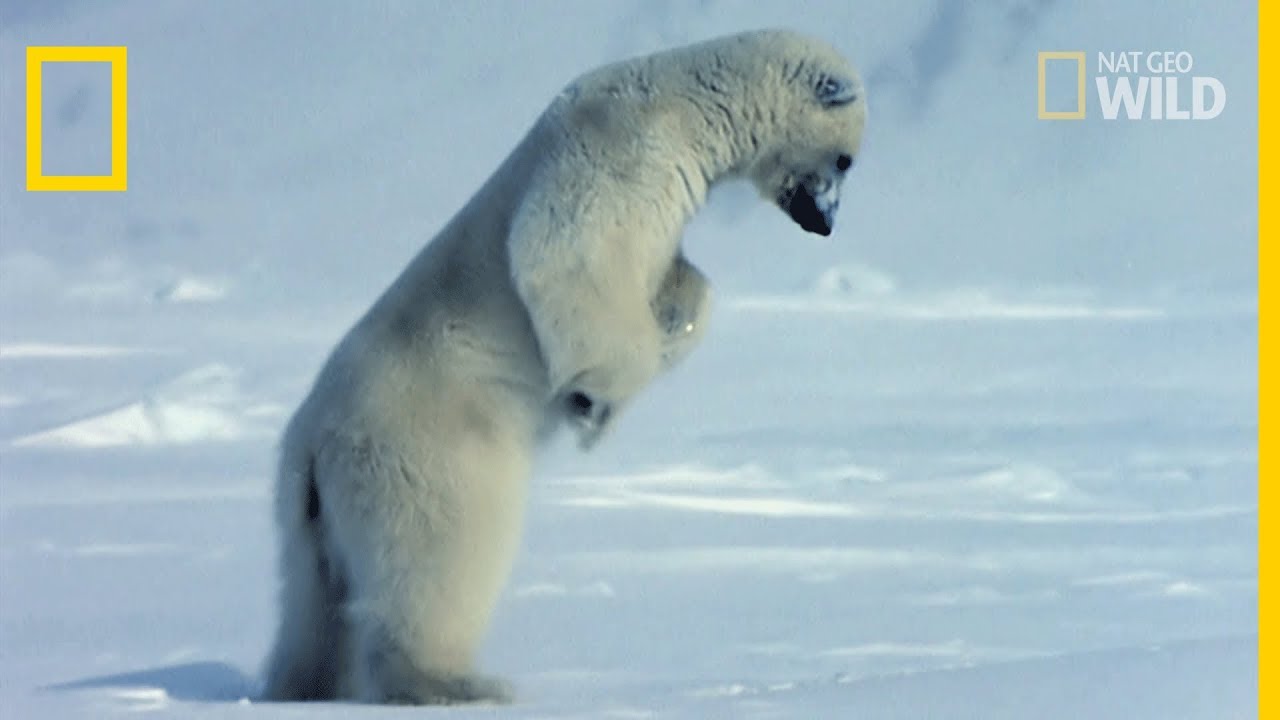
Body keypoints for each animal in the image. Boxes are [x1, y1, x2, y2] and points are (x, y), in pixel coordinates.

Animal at [267, 29, 870, 702]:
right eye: (845, 161)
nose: (825, 223)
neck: (687, 103)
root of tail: (315, 441)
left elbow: (681, 281)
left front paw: (672, 319)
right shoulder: (623, 154)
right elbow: (568, 255)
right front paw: (595, 401)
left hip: (305, 512)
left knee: (312, 603)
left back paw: (300, 686)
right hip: (430, 448)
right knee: (440, 552)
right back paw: (455, 681)